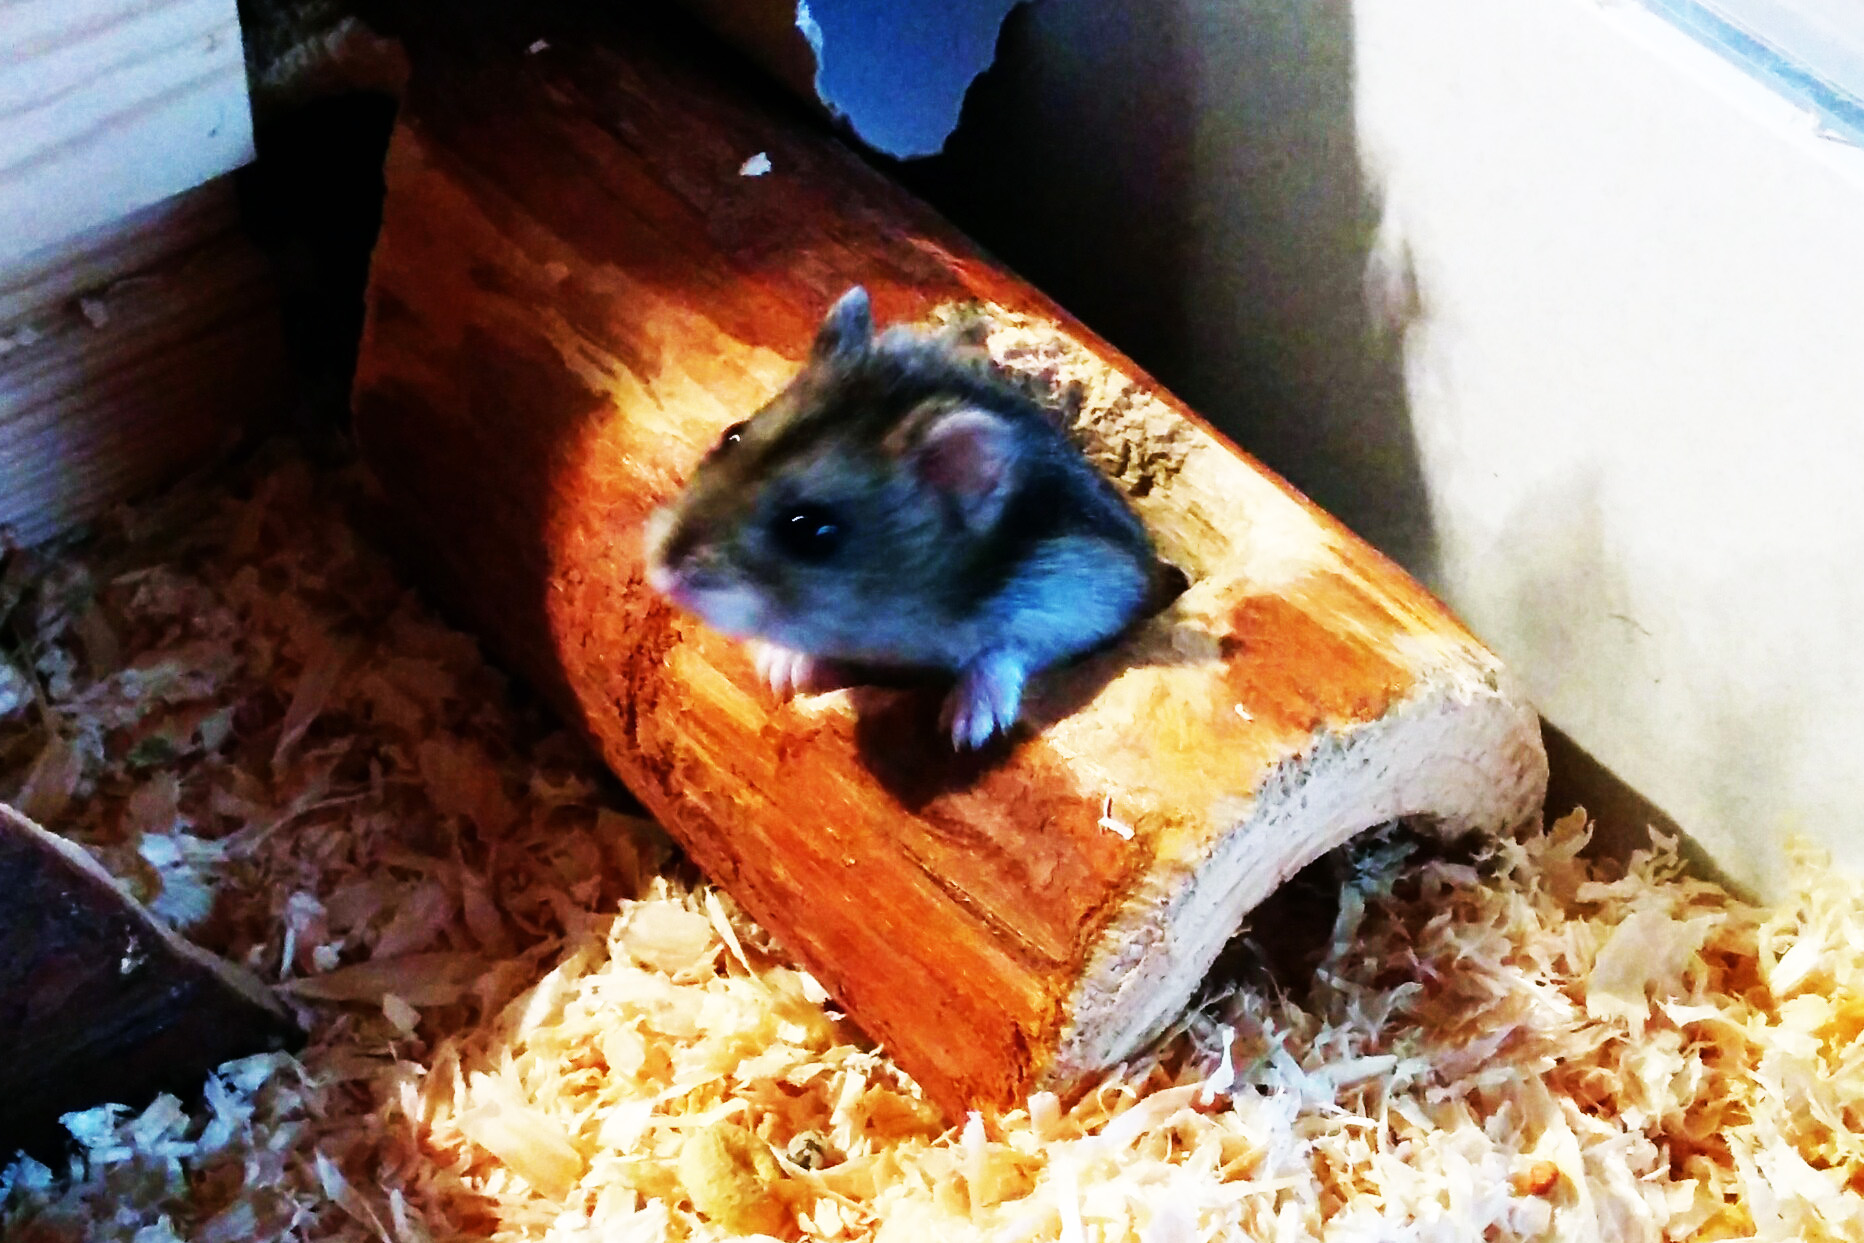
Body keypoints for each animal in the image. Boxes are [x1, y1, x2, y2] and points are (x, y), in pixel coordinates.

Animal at [643, 286, 1156, 749]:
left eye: (811, 531)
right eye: (733, 435)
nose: (660, 573)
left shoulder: (1088, 592)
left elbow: (1007, 648)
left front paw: (966, 730)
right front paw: (779, 669)